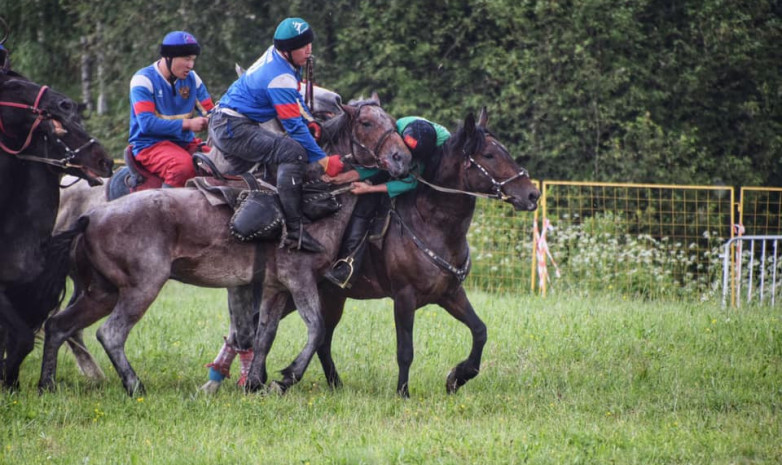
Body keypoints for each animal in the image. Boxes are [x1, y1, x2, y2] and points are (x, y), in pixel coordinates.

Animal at [39, 98, 414, 396]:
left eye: (392, 121)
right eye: (366, 123)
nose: (401, 159)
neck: (311, 198)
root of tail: (91, 216)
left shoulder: (275, 288)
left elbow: (263, 334)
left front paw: (254, 382)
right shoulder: (300, 281)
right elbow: (316, 328)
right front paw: (286, 377)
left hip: (101, 293)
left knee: (58, 326)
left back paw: (48, 384)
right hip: (139, 289)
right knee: (110, 334)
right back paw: (134, 385)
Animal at [205, 105, 544, 396]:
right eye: (489, 154)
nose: (532, 194)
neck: (430, 221)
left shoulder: (450, 294)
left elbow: (480, 331)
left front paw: (458, 377)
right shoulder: (404, 297)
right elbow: (405, 350)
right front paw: (403, 392)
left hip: (332, 297)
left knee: (320, 338)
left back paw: (331, 384)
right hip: (295, 292)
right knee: (258, 326)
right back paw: (245, 378)